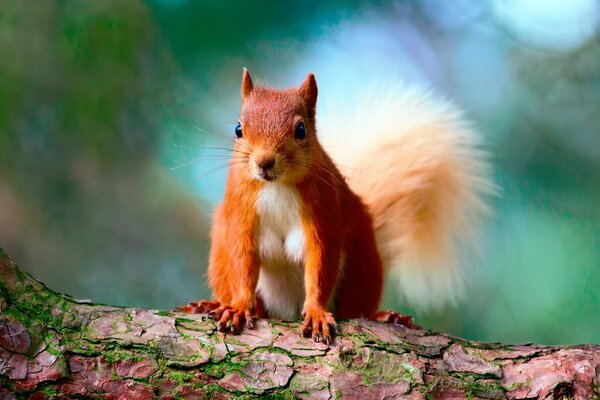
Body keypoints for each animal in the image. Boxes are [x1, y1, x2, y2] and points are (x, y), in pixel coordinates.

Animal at [179, 69, 496, 344]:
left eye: (301, 129)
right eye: (238, 129)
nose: (264, 162)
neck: (277, 185)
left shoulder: (323, 213)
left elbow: (320, 264)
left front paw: (317, 312)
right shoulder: (241, 213)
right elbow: (242, 262)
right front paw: (239, 308)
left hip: (362, 260)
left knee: (354, 308)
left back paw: (386, 316)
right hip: (220, 249)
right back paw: (209, 304)